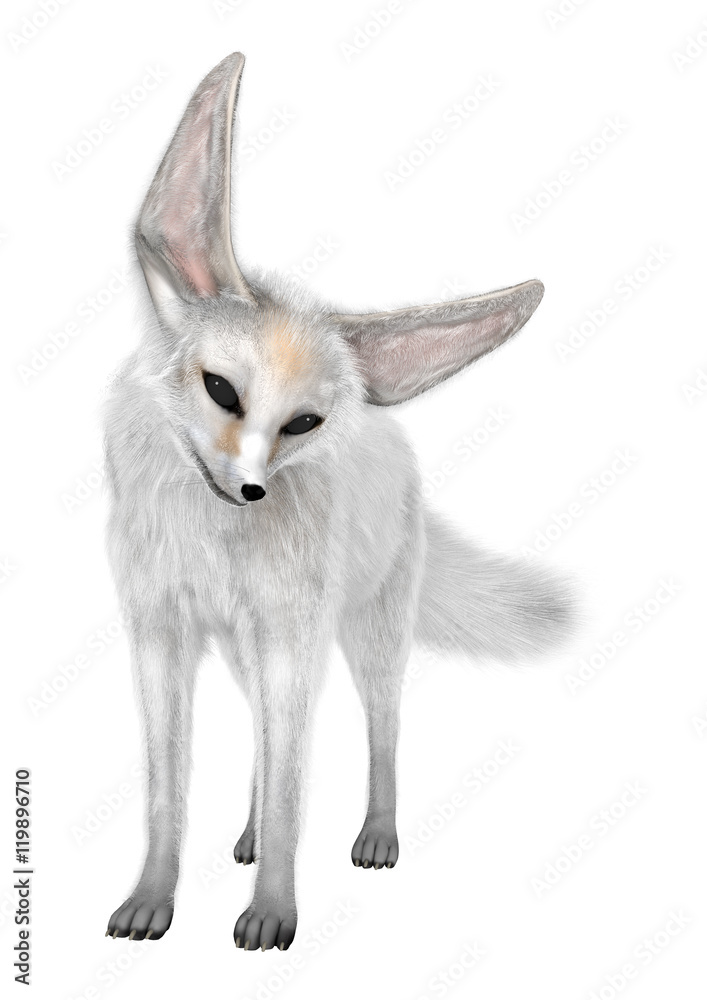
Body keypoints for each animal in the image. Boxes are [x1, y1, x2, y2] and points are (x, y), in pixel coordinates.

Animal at [103, 51, 576, 951]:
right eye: (221, 390)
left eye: (303, 423)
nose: (251, 487)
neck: (216, 542)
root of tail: (390, 434)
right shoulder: (159, 630)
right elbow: (166, 788)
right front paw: (152, 898)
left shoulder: (291, 637)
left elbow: (295, 787)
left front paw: (273, 913)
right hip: (255, 649)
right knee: (264, 739)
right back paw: (248, 833)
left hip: (366, 637)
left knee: (382, 731)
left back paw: (377, 835)